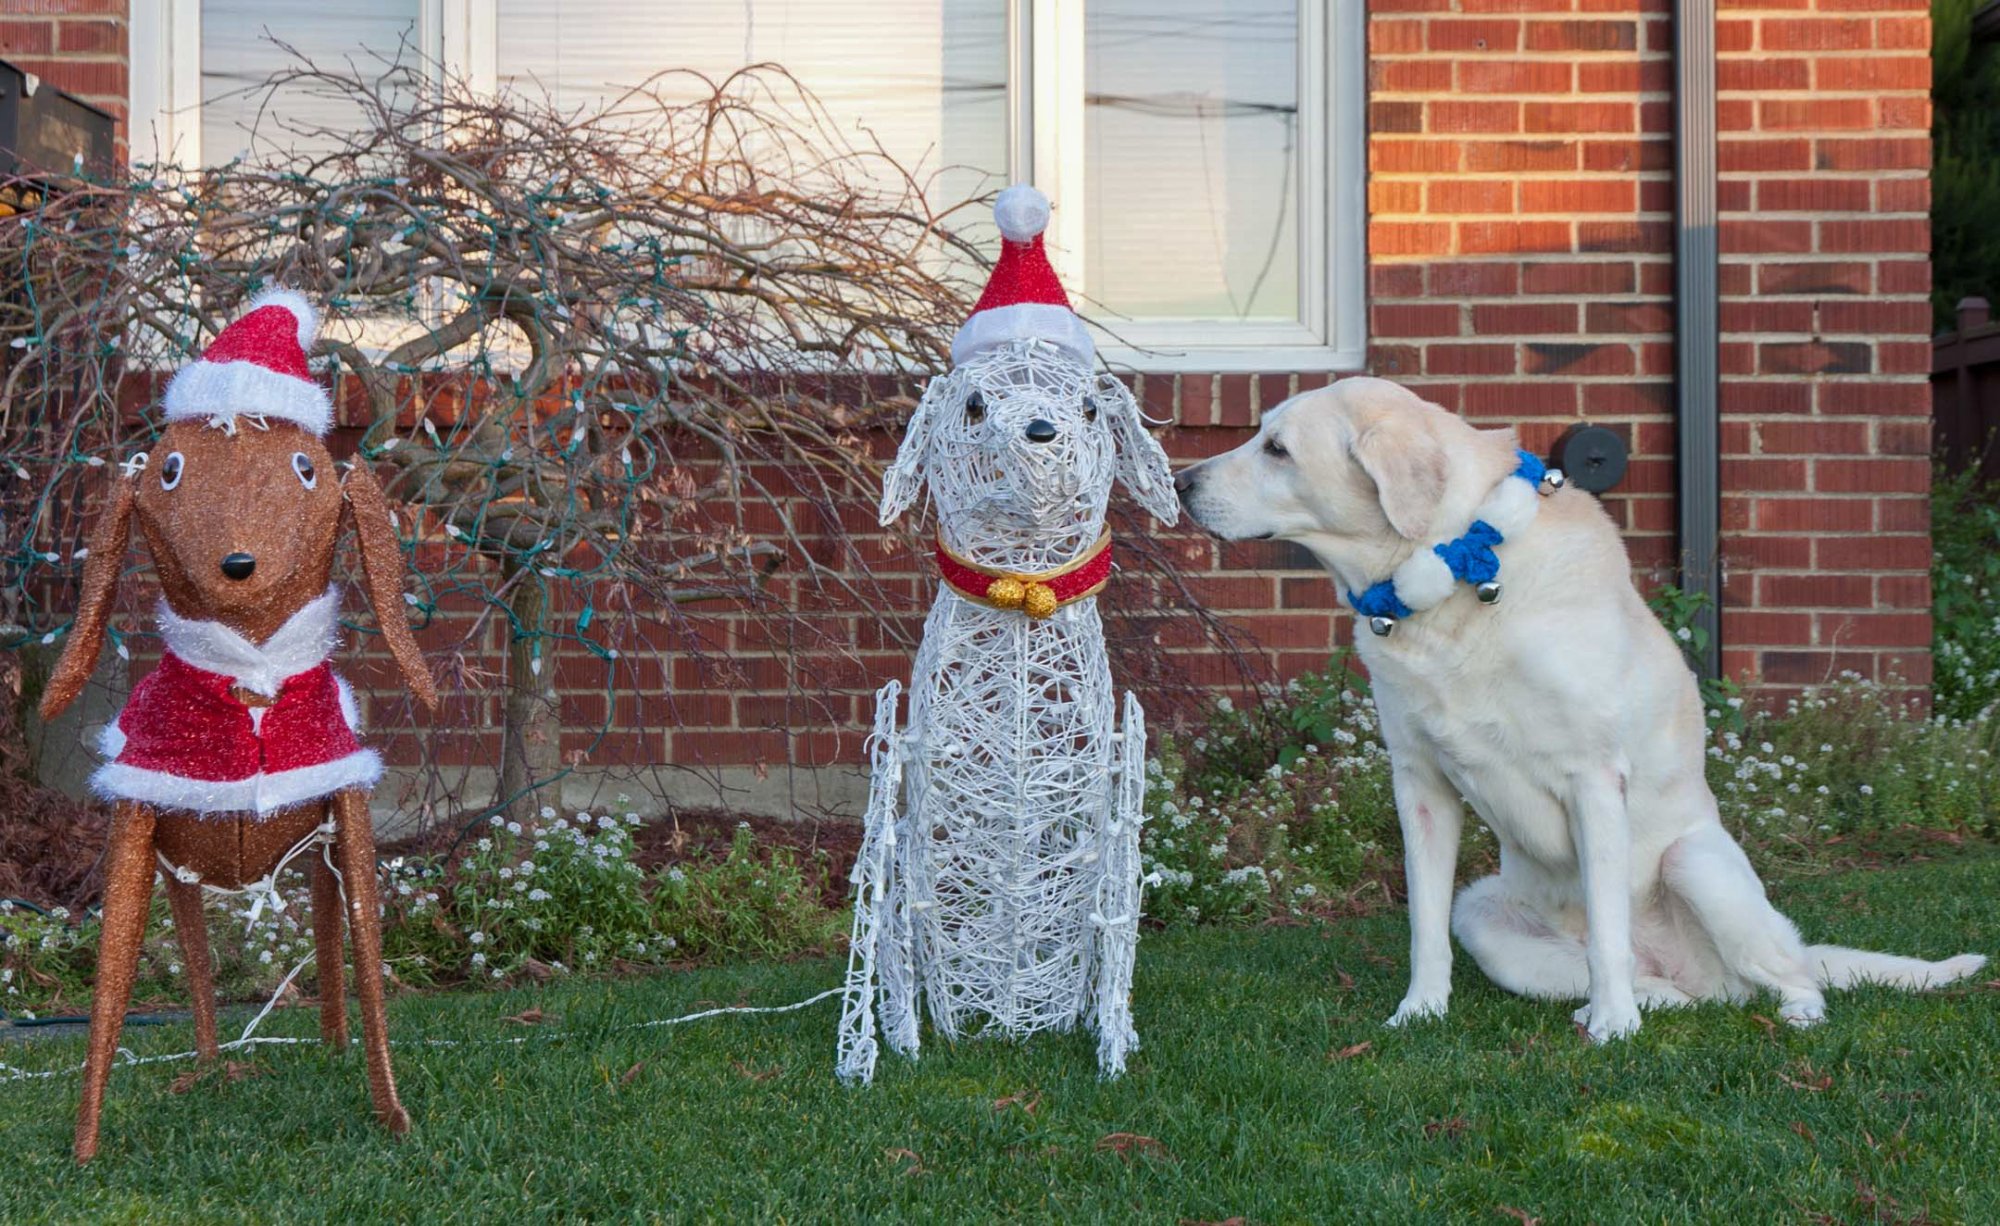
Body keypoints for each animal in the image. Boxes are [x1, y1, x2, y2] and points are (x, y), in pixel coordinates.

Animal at [1168, 378, 1984, 1040]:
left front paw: (1616, 1028)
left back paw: (1778, 1012)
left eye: (1278, 448)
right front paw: (1420, 1012)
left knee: (1792, 974)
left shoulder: (1594, 778)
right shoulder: (1420, 787)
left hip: (1698, 864)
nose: (1180, 480)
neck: (1457, 583)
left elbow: (1607, 923)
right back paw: (1642, 1000)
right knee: (1671, 988)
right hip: (1484, 914)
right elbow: (1424, 925)